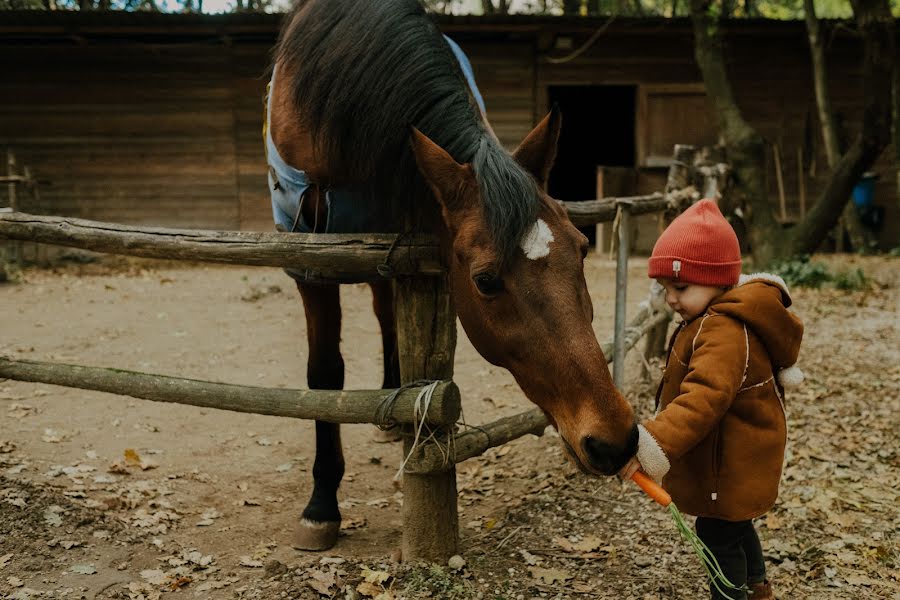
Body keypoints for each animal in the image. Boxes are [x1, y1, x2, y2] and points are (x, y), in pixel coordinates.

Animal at [264, 0, 636, 552]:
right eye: (485, 280)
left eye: (583, 248)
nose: (616, 439)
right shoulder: (310, 258)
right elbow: (324, 373)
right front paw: (320, 507)